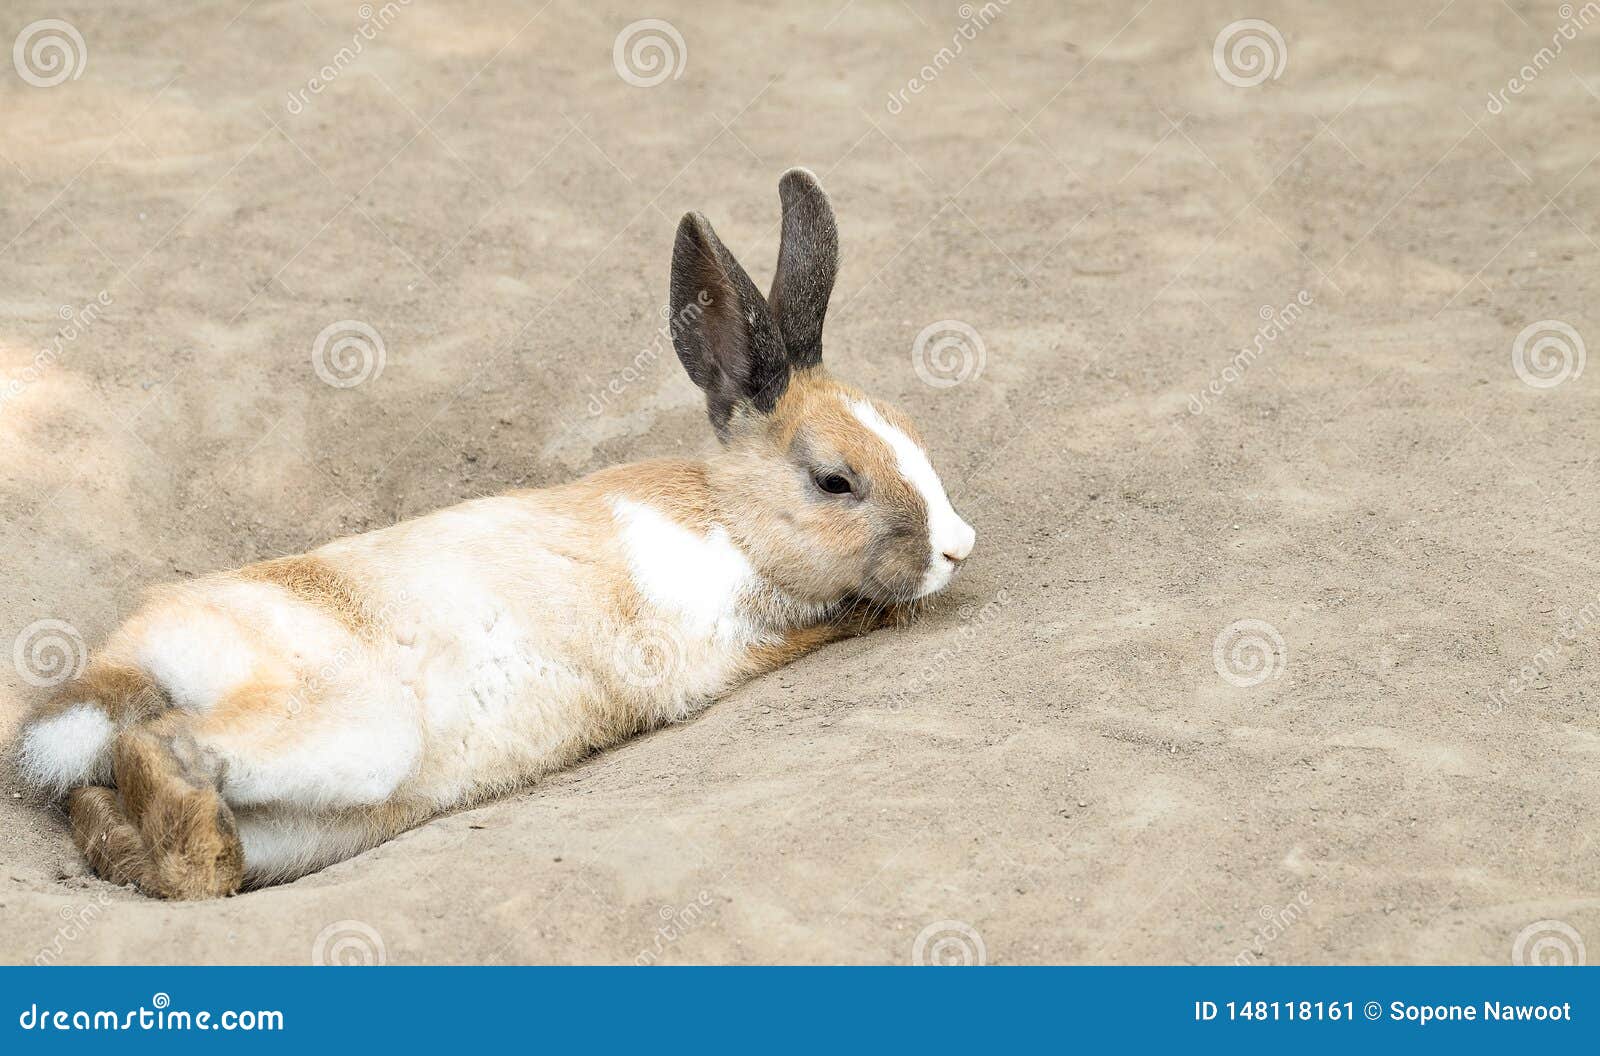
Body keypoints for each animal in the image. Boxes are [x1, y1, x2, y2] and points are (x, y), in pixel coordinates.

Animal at [12, 167, 972, 902]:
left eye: (909, 429)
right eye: (835, 481)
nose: (957, 546)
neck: (729, 524)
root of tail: (129, 664)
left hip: (316, 815)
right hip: (350, 732)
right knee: (161, 751)